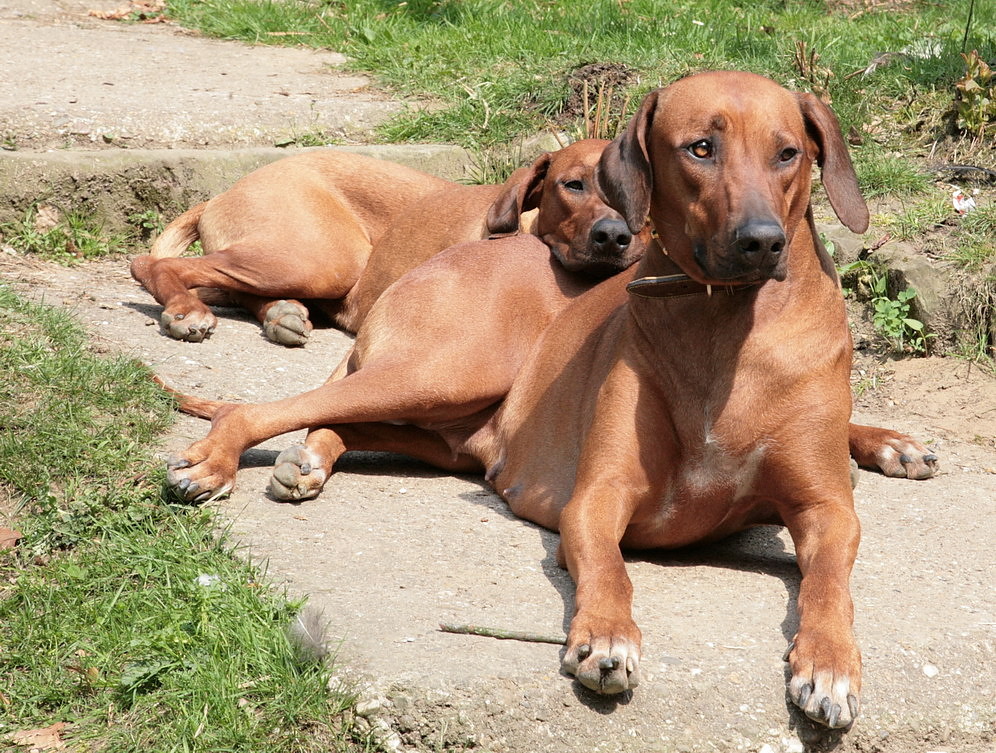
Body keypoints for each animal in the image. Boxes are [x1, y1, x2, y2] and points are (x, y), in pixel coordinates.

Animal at [161, 73, 932, 724]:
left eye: (788, 153)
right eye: (700, 148)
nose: (761, 242)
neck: (727, 324)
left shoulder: (827, 510)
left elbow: (830, 583)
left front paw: (830, 665)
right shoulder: (594, 497)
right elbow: (611, 572)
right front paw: (608, 638)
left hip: (446, 425)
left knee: (343, 416)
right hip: (440, 367)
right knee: (272, 405)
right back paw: (219, 457)